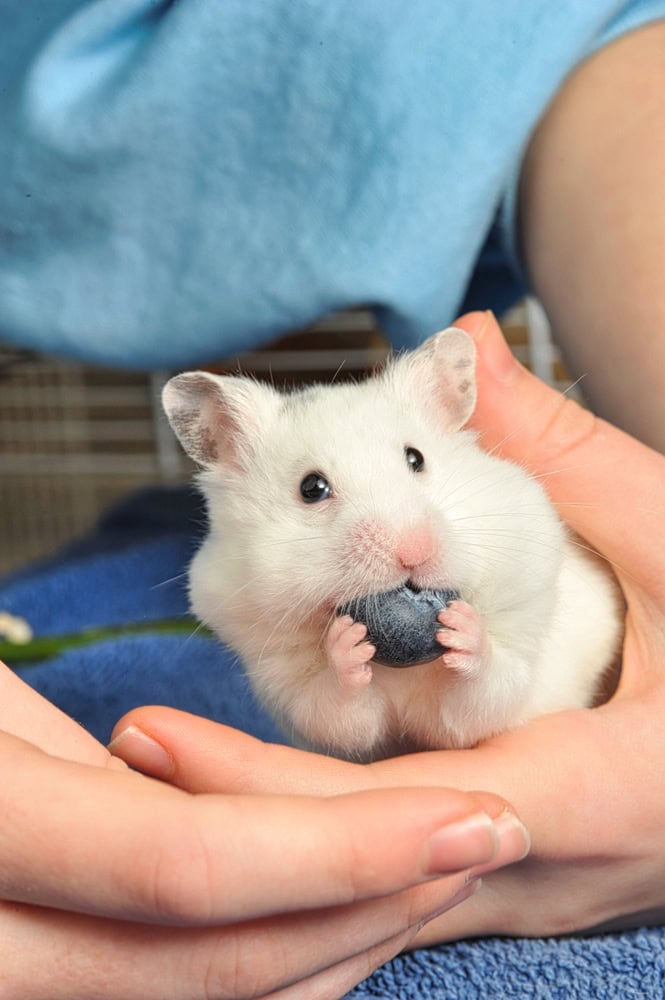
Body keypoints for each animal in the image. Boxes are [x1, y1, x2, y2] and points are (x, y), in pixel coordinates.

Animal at [162, 327, 622, 760]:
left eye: (415, 458)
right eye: (312, 488)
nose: (413, 552)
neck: (402, 670)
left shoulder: (517, 651)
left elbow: (485, 693)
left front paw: (462, 626)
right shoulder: (286, 678)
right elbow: (337, 712)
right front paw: (346, 644)